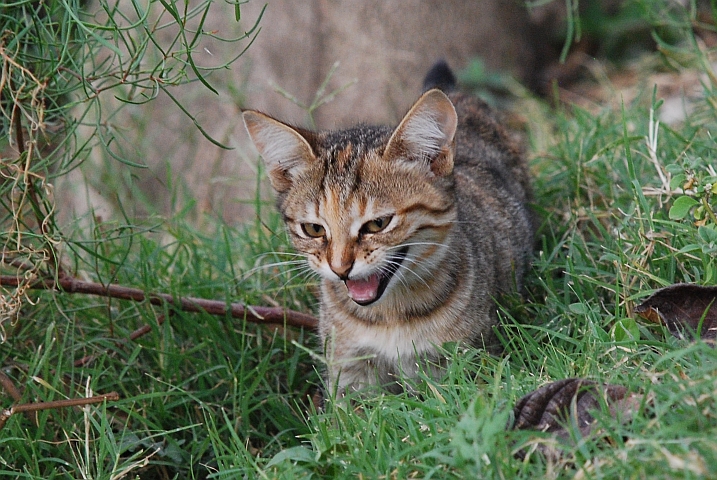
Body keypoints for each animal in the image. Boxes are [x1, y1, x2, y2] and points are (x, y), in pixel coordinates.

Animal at [243, 61, 536, 398]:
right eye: (313, 229)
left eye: (377, 224)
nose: (340, 268)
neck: (390, 317)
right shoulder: (349, 373)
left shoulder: (465, 359)